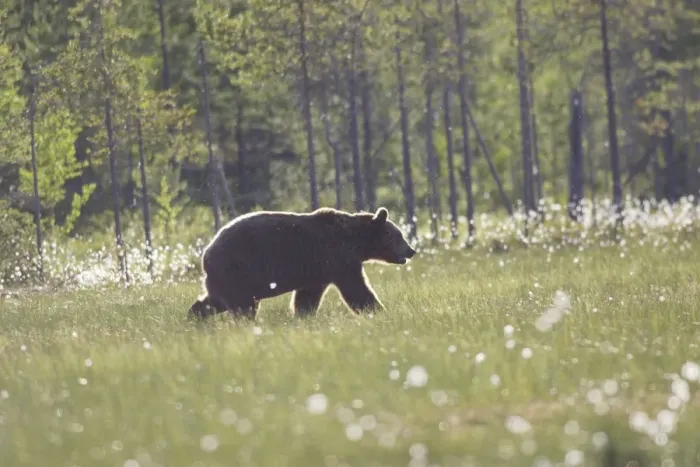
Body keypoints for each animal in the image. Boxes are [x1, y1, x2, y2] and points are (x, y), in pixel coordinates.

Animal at [187, 206, 416, 320]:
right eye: (398, 235)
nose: (411, 250)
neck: (356, 241)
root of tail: (206, 253)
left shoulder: (317, 270)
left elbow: (307, 297)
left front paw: (303, 316)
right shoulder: (337, 259)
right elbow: (356, 290)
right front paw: (379, 310)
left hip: (226, 278)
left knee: (214, 301)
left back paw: (194, 317)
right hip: (237, 268)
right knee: (243, 306)